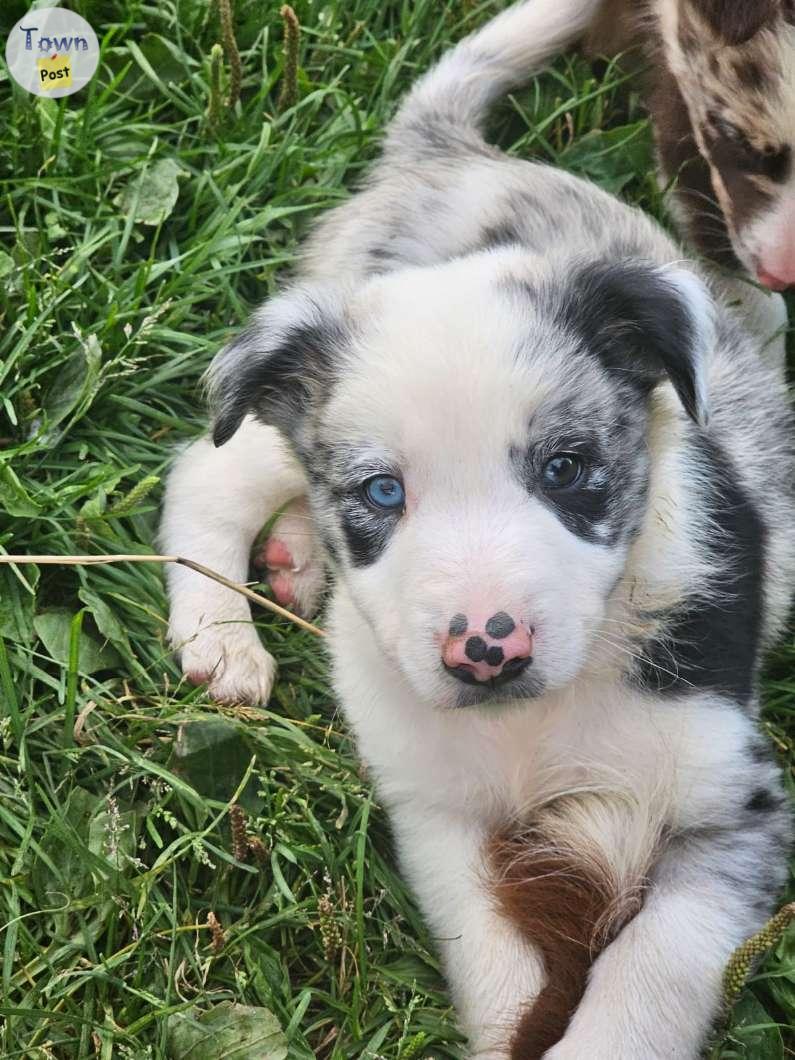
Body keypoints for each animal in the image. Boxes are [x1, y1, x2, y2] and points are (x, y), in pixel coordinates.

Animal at [158, 4, 792, 1055]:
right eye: (382, 494)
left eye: (565, 470)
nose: (485, 650)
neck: (534, 721)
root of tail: (450, 154)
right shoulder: (439, 815)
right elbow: (499, 968)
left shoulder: (733, 806)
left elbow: (651, 969)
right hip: (273, 415)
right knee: (206, 469)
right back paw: (220, 636)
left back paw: (291, 562)